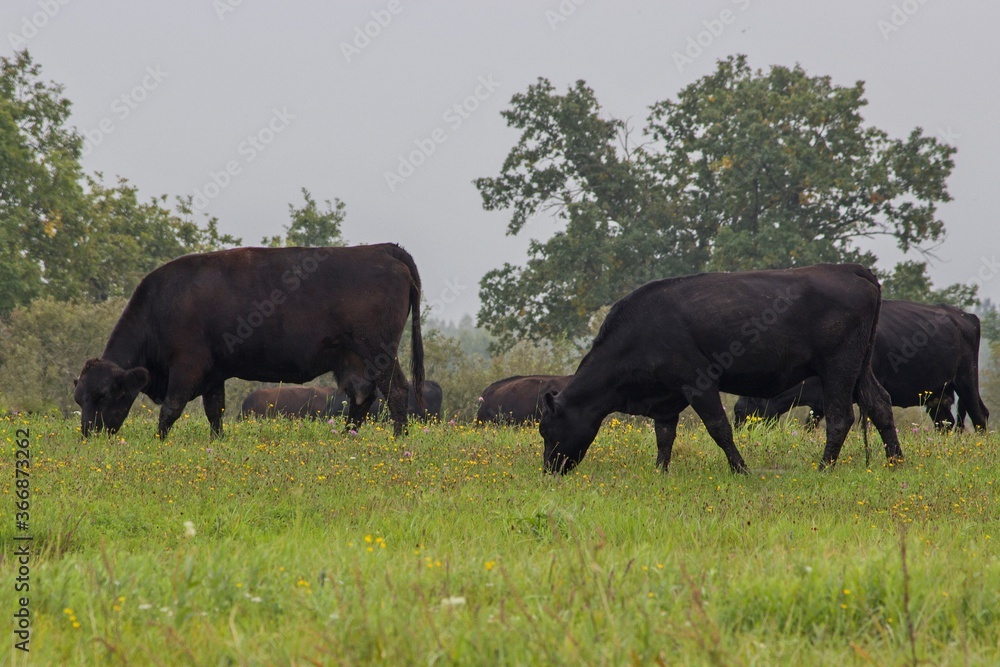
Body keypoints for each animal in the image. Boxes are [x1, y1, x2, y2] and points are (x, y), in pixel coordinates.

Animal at [73, 244, 422, 438]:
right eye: (79, 399)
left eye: (103, 395)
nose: (89, 435)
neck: (161, 304)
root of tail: (382, 248)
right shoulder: (213, 374)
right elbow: (215, 412)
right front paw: (217, 442)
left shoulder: (187, 367)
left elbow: (171, 409)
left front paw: (158, 442)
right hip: (354, 360)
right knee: (362, 398)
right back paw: (346, 439)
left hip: (379, 353)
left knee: (397, 391)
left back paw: (399, 440)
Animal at [544, 264, 904, 474]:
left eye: (545, 431)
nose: (549, 470)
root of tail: (849, 269)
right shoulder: (666, 397)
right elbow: (664, 437)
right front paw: (660, 473)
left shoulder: (698, 381)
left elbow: (718, 428)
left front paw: (741, 470)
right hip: (859, 366)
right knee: (879, 404)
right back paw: (896, 463)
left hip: (838, 365)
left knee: (841, 417)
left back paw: (823, 469)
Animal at [736, 302, 992, 434]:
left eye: (742, 411)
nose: (740, 432)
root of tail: (963, 315)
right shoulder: (818, 401)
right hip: (937, 396)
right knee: (946, 424)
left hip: (966, 379)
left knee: (980, 416)